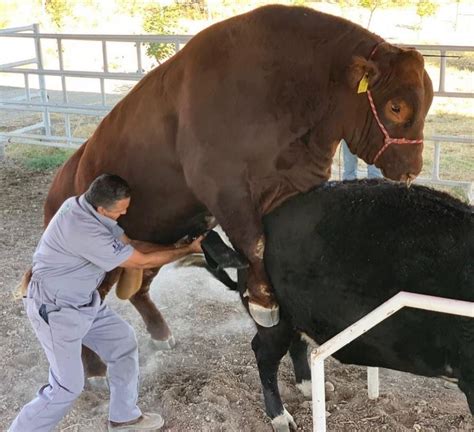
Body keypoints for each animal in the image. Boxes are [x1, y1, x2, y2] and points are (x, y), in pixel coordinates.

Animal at [35, 4, 432, 362]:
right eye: (396, 107)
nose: (412, 167)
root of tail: (69, 175)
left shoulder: (290, 186)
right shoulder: (223, 186)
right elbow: (254, 243)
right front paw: (263, 302)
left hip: (153, 238)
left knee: (138, 288)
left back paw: (160, 333)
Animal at [203, 180, 470, 432]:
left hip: (299, 313)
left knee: (297, 344)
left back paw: (312, 388)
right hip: (273, 318)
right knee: (264, 355)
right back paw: (281, 418)